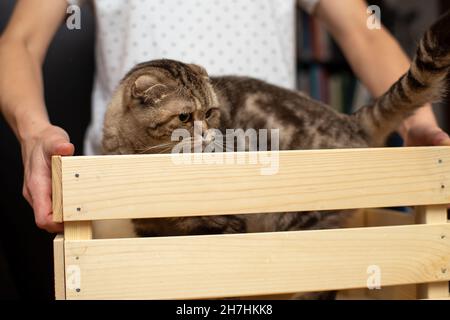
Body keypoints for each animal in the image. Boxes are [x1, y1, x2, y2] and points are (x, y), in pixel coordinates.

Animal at [102, 10, 450, 298]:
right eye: (185, 117)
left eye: (211, 112)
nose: (209, 134)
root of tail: (346, 120)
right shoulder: (149, 231)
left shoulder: (222, 226)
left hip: (302, 223)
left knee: (324, 282)